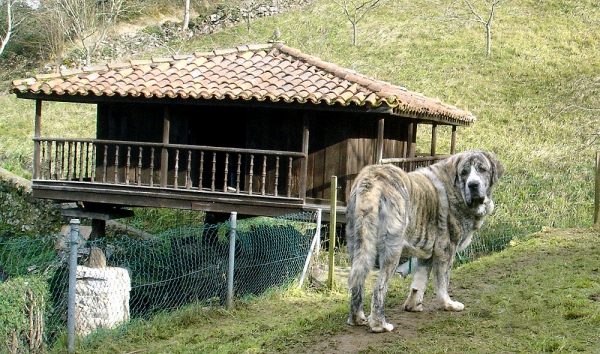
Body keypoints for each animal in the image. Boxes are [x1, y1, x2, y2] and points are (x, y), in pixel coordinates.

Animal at [344, 149, 504, 332]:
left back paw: (357, 319)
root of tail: (372, 178)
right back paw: (380, 325)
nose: (473, 184)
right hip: (392, 249)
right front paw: (448, 305)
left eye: (482, 169)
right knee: (379, 288)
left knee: (358, 284)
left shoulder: (427, 251)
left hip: (358, 245)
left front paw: (413, 306)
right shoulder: (445, 250)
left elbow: (419, 281)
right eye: (464, 172)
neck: (456, 189)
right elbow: (442, 282)